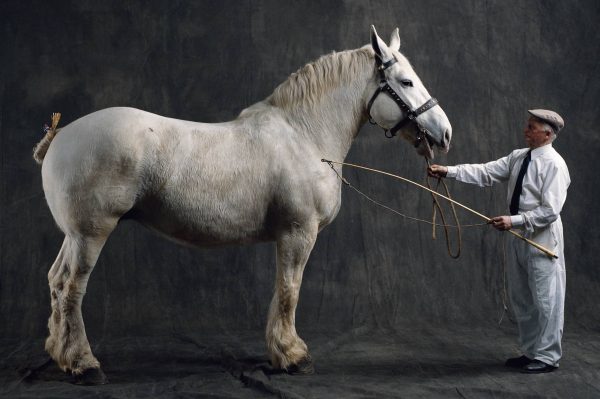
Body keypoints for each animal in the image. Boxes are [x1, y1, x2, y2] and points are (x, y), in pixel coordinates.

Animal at [31, 26, 450, 386]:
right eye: (406, 82)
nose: (444, 133)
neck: (304, 135)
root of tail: (61, 136)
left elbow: (282, 291)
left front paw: (281, 352)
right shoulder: (298, 233)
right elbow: (289, 290)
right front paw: (294, 356)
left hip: (74, 236)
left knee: (54, 281)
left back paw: (60, 354)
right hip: (91, 234)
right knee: (71, 287)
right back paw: (84, 364)